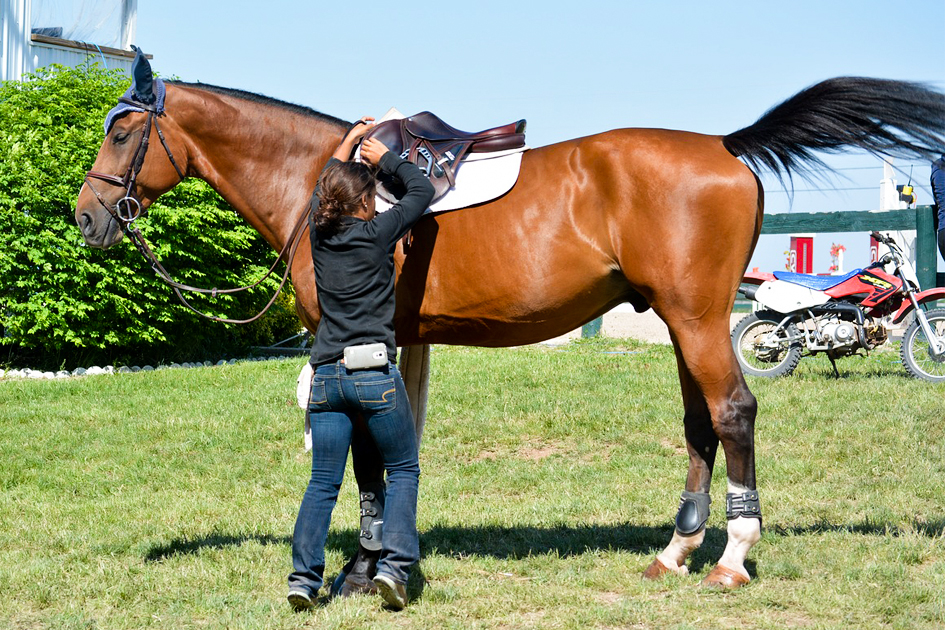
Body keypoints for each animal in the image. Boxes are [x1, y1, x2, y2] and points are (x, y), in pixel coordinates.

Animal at [75, 59, 945, 591]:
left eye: (120, 131)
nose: (86, 217)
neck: (322, 180)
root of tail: (725, 147)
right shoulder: (402, 342)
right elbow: (394, 448)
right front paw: (386, 558)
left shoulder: (353, 344)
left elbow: (365, 455)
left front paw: (364, 569)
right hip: (680, 320)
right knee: (700, 421)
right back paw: (673, 551)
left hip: (698, 319)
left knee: (732, 412)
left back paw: (732, 557)